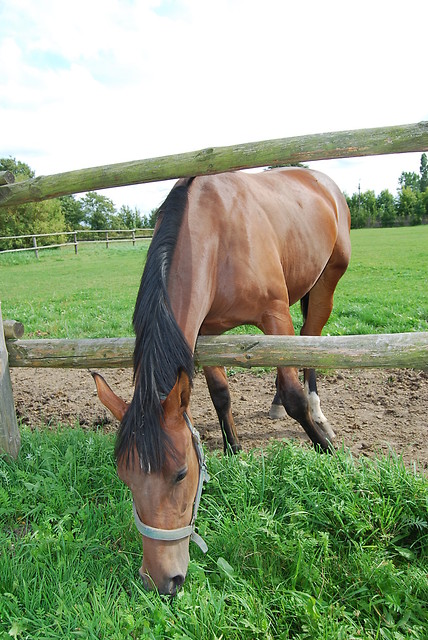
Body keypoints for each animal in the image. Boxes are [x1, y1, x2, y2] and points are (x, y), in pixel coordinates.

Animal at [93, 169, 352, 596]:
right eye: (124, 476)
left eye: (181, 474)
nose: (160, 580)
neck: (215, 234)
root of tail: (321, 180)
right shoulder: (205, 333)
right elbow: (220, 394)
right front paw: (233, 450)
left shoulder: (274, 315)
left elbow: (294, 393)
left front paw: (326, 449)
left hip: (326, 282)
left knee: (310, 342)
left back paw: (319, 415)